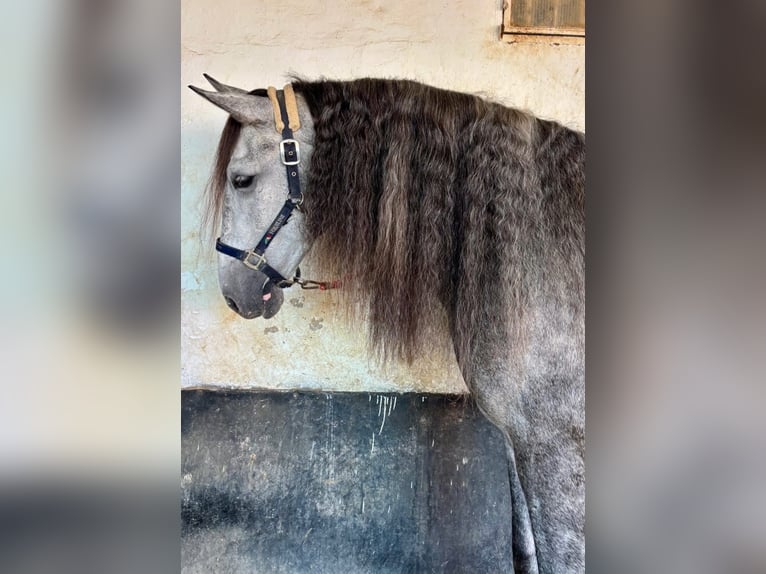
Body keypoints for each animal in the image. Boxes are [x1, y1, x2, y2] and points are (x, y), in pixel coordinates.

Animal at [189, 76, 585, 574]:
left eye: (241, 180)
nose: (233, 292)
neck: (534, 253)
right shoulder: (518, 441)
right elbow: (524, 549)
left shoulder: (554, 446)